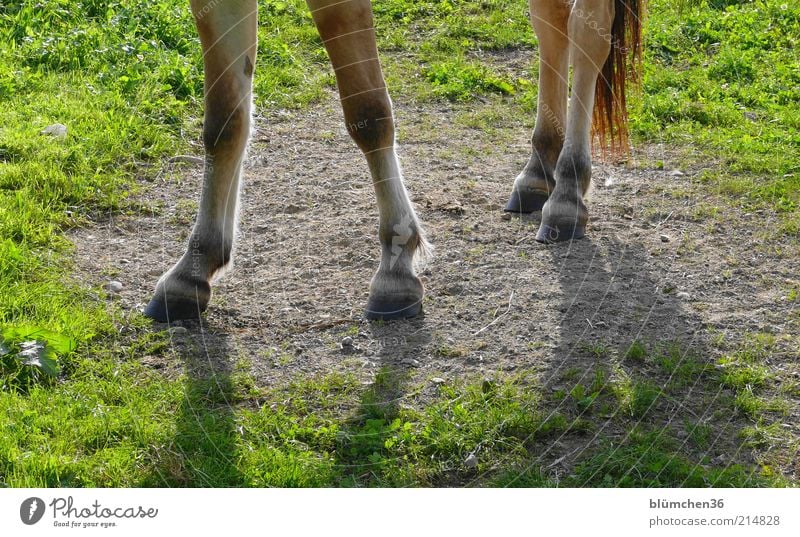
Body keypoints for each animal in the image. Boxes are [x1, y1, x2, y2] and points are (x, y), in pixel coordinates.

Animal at [142, 0, 644, 320]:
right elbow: (224, 122)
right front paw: (194, 267)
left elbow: (367, 114)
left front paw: (396, 262)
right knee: (551, 22)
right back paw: (539, 171)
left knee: (587, 27)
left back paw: (567, 191)